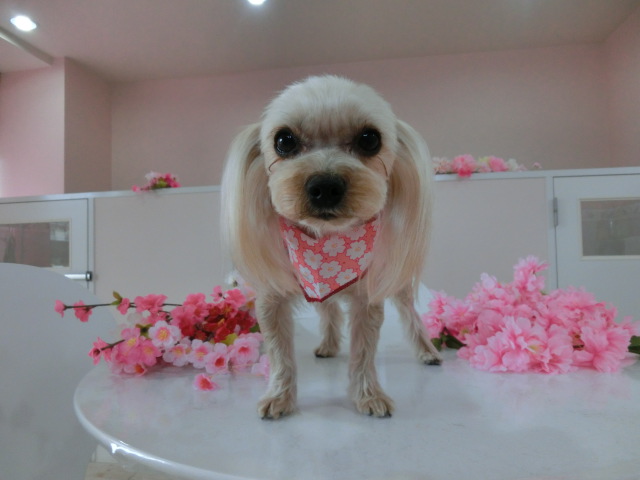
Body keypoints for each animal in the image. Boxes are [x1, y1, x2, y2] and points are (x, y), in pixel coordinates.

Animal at [221, 75, 442, 419]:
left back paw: (426, 350)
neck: (327, 241)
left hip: (398, 285)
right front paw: (279, 396)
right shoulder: (272, 297)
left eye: (370, 139)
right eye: (284, 140)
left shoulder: (367, 297)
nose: (325, 186)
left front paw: (369, 395)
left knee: (409, 314)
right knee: (329, 308)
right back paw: (328, 344)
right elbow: (279, 352)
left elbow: (364, 349)